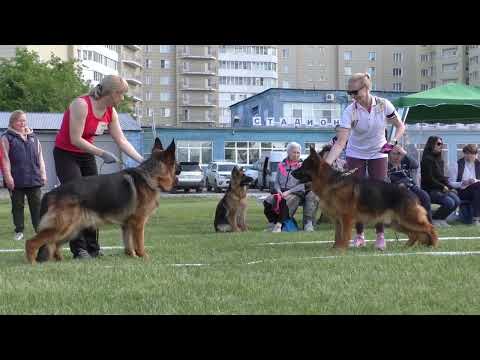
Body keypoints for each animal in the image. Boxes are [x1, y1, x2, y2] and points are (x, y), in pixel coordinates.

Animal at [24, 138, 179, 264]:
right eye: (176, 163)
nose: (182, 166)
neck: (151, 176)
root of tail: (50, 193)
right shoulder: (138, 223)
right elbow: (139, 244)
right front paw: (144, 257)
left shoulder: (127, 225)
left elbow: (128, 244)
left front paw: (132, 257)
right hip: (62, 226)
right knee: (32, 243)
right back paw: (32, 263)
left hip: (70, 229)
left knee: (54, 245)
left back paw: (60, 261)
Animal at [290, 146, 436, 250]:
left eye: (302, 166)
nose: (291, 171)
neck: (330, 182)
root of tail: (411, 193)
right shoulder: (338, 220)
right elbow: (337, 235)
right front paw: (335, 248)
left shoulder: (346, 218)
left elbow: (344, 235)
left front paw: (341, 249)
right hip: (398, 223)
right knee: (415, 234)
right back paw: (406, 247)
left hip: (408, 219)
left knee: (430, 228)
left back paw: (434, 244)